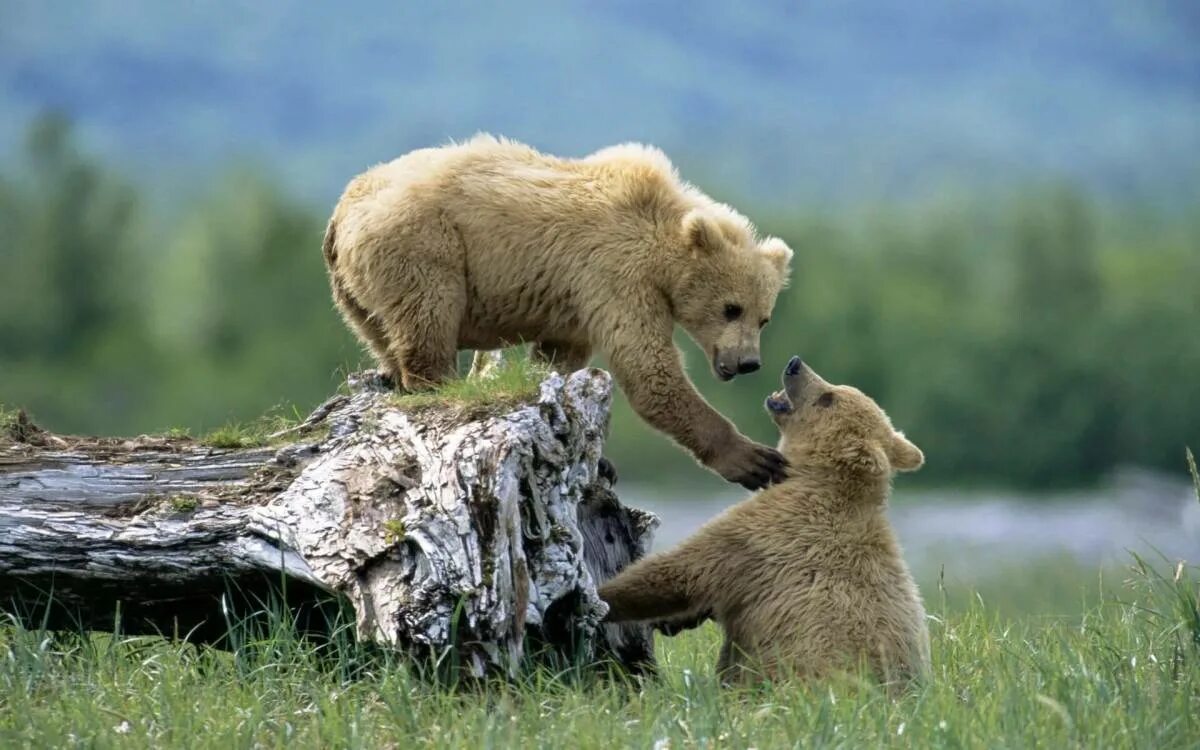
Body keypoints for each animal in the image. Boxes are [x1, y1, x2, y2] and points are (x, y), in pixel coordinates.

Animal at [321, 136, 796, 489]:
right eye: (731, 308)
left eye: (764, 317)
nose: (748, 362)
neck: (662, 243)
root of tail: (340, 213)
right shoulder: (616, 275)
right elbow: (649, 371)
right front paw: (755, 459)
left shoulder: (577, 302)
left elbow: (560, 359)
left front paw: (598, 458)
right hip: (423, 245)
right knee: (428, 317)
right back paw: (438, 383)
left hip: (355, 291)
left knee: (383, 333)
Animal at [597, 357, 926, 686]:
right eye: (836, 389)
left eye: (828, 397)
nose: (795, 364)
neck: (816, 479)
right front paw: (674, 620)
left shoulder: (765, 536)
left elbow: (680, 572)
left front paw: (602, 597)